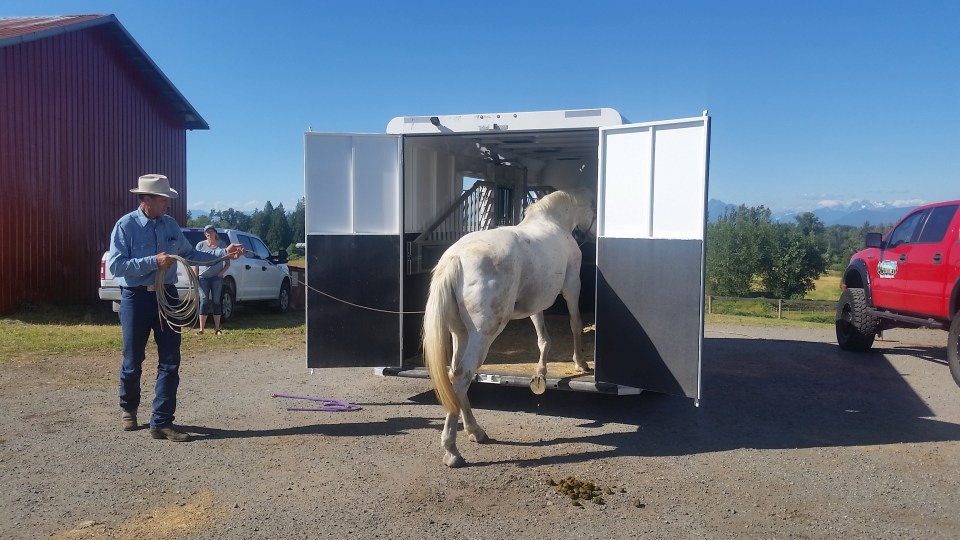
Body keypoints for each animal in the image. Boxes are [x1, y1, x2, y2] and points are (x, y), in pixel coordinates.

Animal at [422, 189, 597, 468]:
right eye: (594, 209)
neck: (554, 222)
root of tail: (455, 257)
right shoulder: (572, 286)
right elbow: (575, 322)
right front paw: (580, 363)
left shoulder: (536, 302)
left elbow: (542, 335)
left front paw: (541, 371)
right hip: (481, 337)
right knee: (461, 378)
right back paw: (452, 450)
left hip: (460, 334)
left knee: (454, 374)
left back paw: (476, 431)